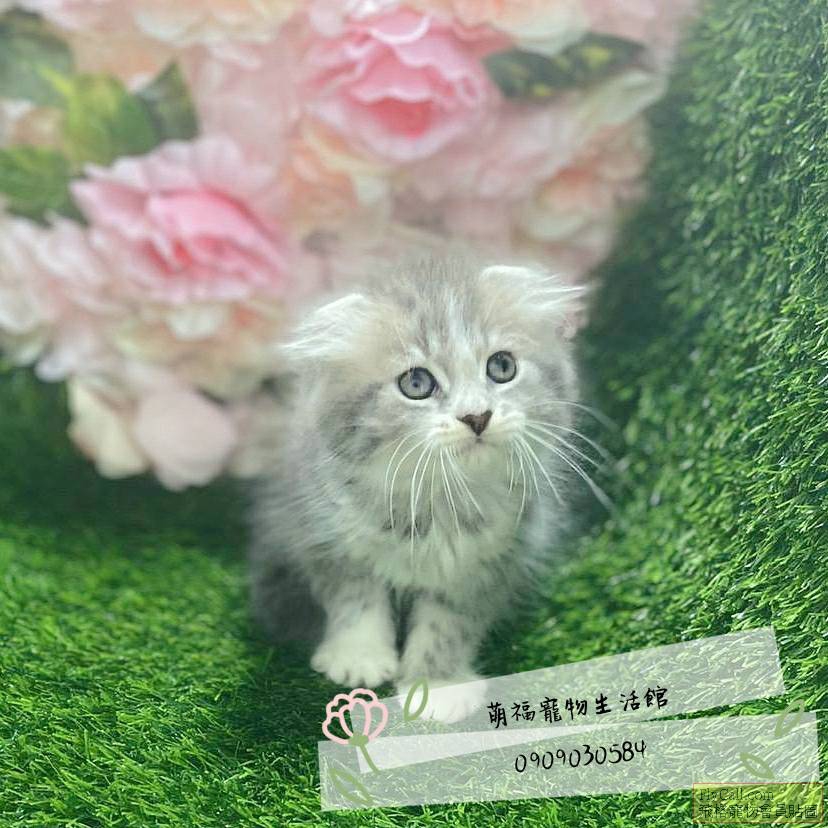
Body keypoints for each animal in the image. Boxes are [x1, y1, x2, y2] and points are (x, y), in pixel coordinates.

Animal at [248, 252, 583, 723]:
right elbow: (355, 597)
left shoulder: (495, 558)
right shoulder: (321, 532)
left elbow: (449, 623)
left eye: (501, 367)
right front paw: (359, 657)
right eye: (417, 383)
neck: (437, 500)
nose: (476, 416)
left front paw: (437, 684)